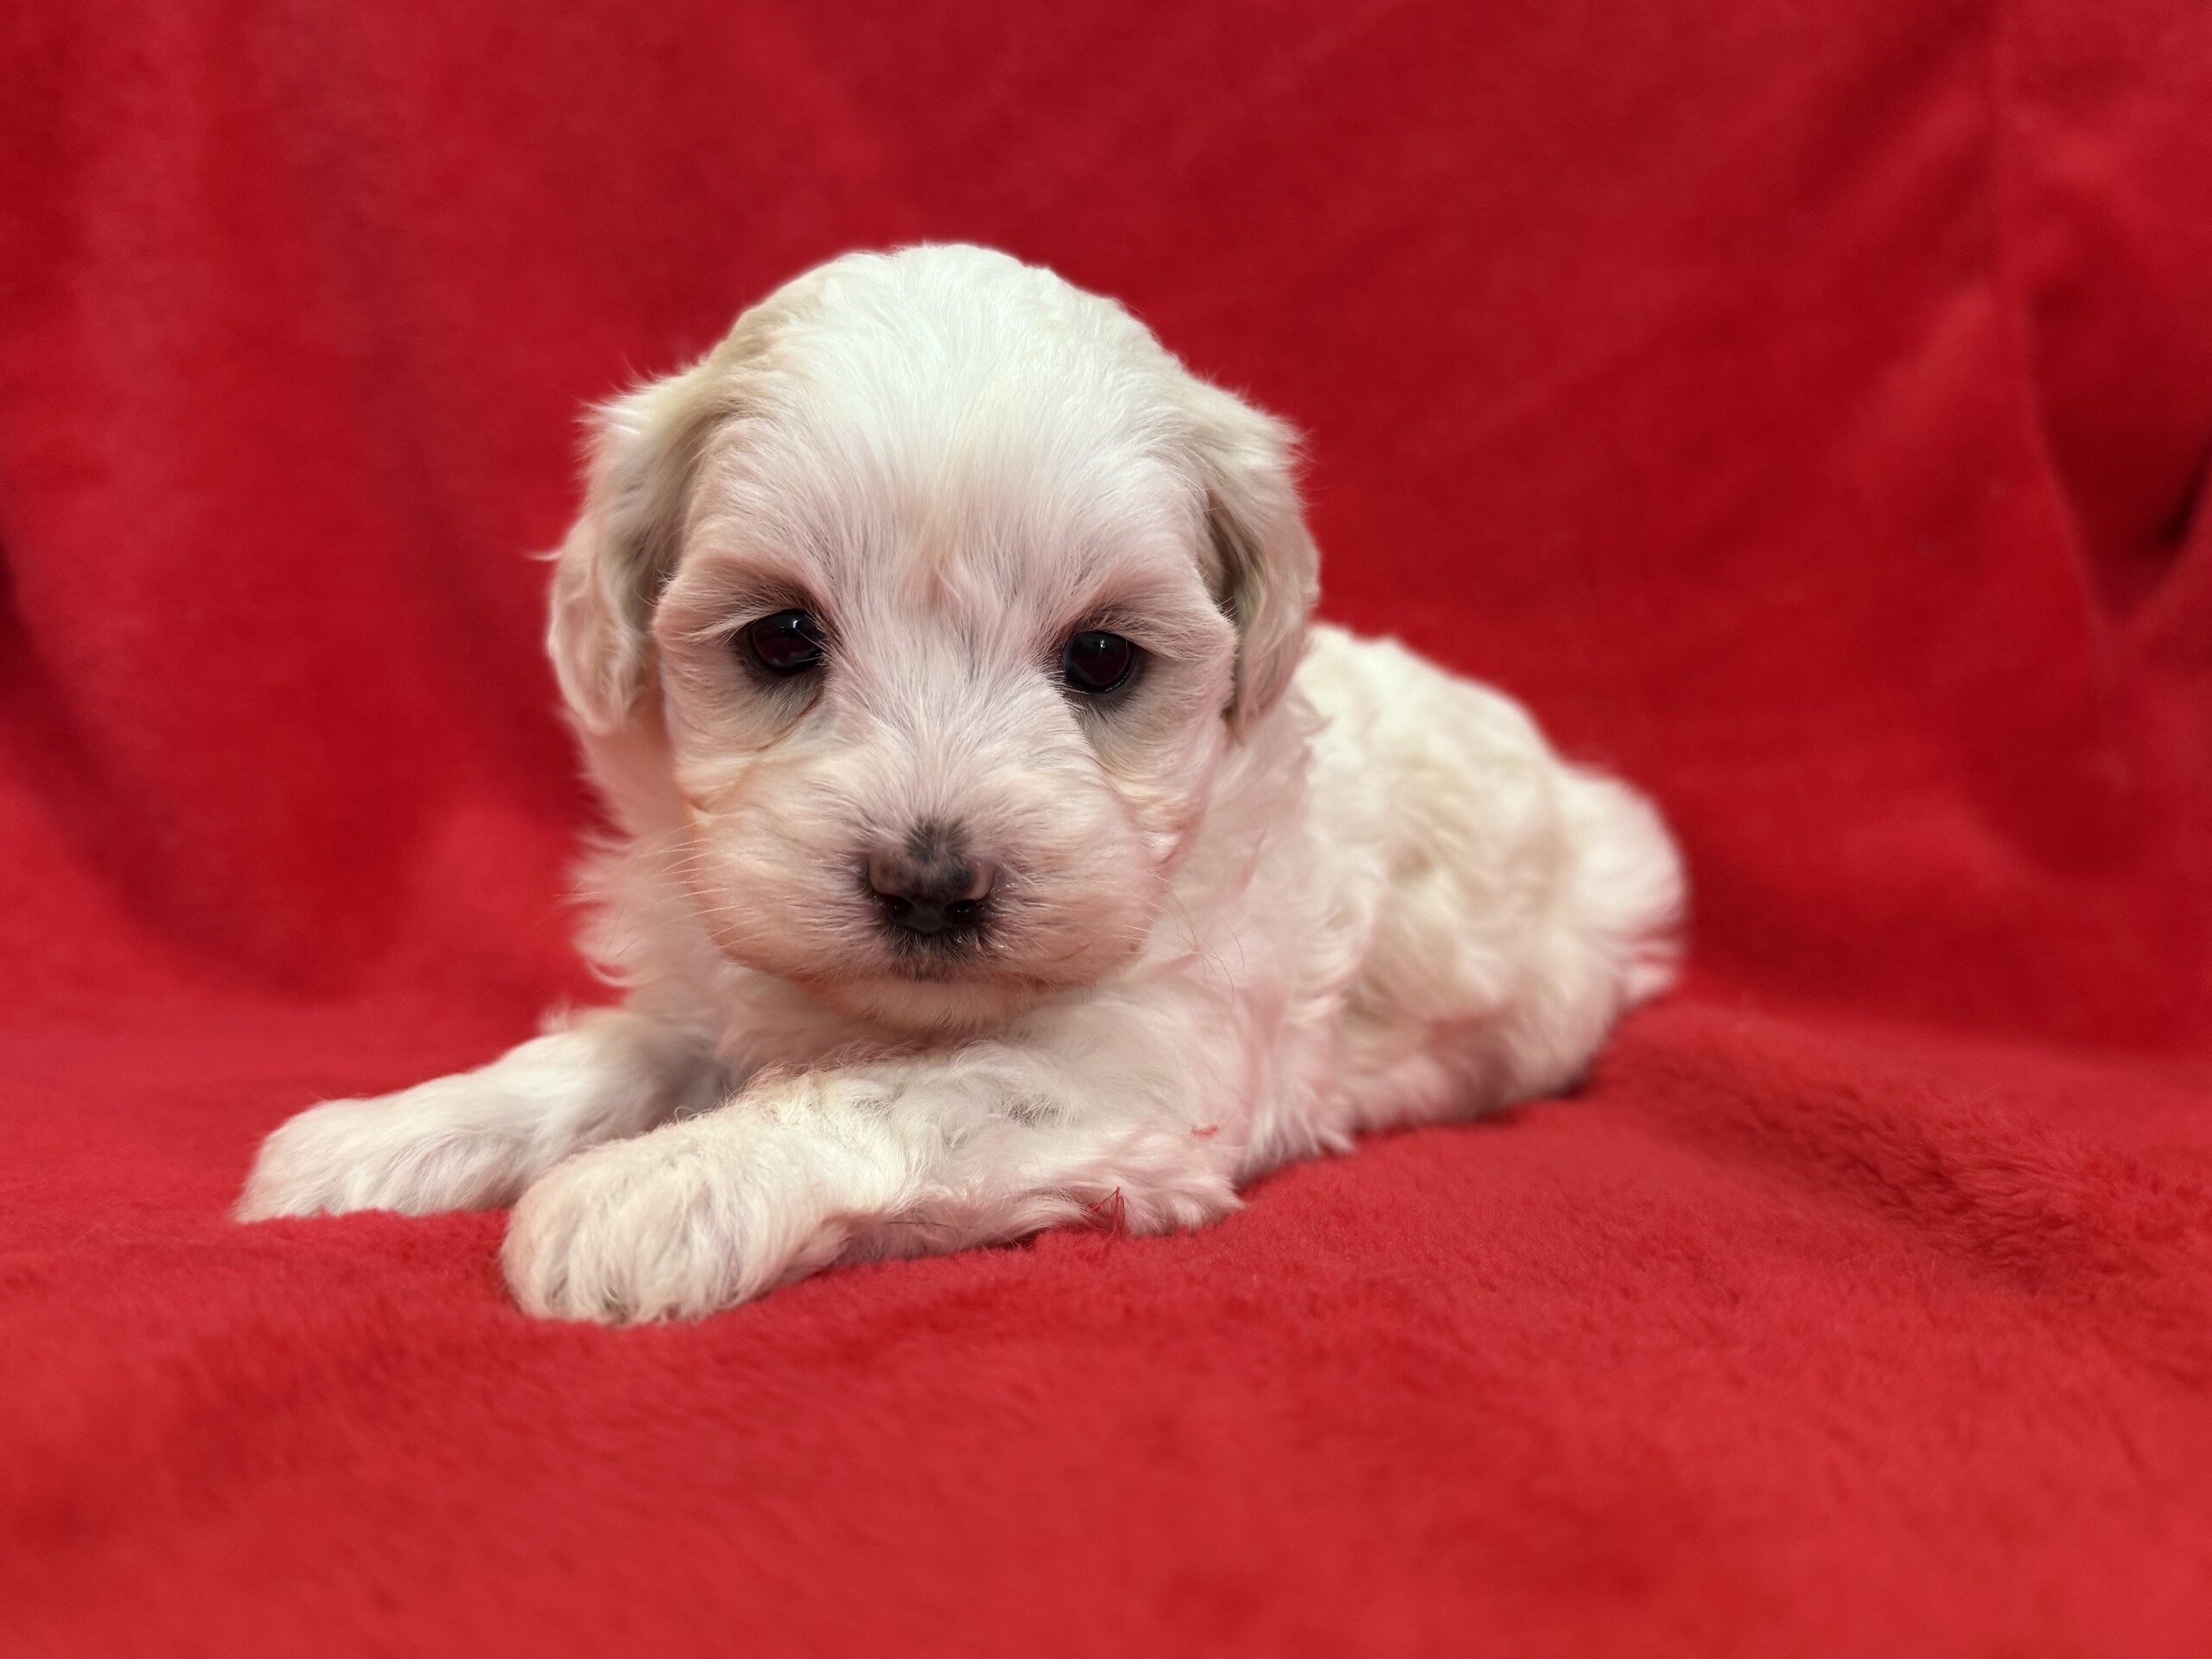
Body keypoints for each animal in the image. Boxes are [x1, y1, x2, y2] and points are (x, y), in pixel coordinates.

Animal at [237, 244, 1685, 1323]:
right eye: (781, 639)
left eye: (1101, 658)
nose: (930, 883)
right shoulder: (720, 978)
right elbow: (611, 1051)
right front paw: (384, 1139)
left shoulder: (1142, 1076)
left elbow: (896, 1093)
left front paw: (652, 1187)